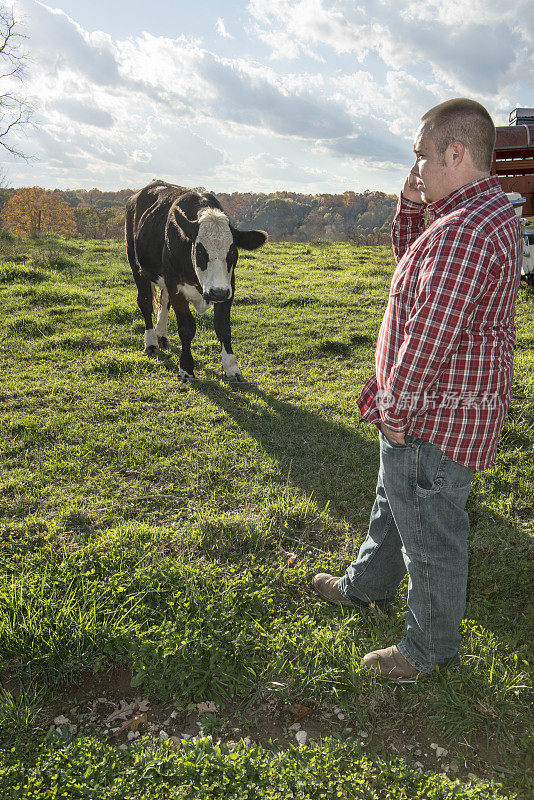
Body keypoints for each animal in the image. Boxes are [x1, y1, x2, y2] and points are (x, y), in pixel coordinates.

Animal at [125, 181, 268, 382]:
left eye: (233, 251)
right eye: (199, 251)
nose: (217, 292)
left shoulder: (228, 286)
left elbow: (223, 327)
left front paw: (231, 368)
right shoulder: (176, 285)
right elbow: (186, 328)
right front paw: (186, 369)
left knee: (163, 301)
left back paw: (161, 335)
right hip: (135, 263)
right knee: (145, 302)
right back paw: (151, 342)